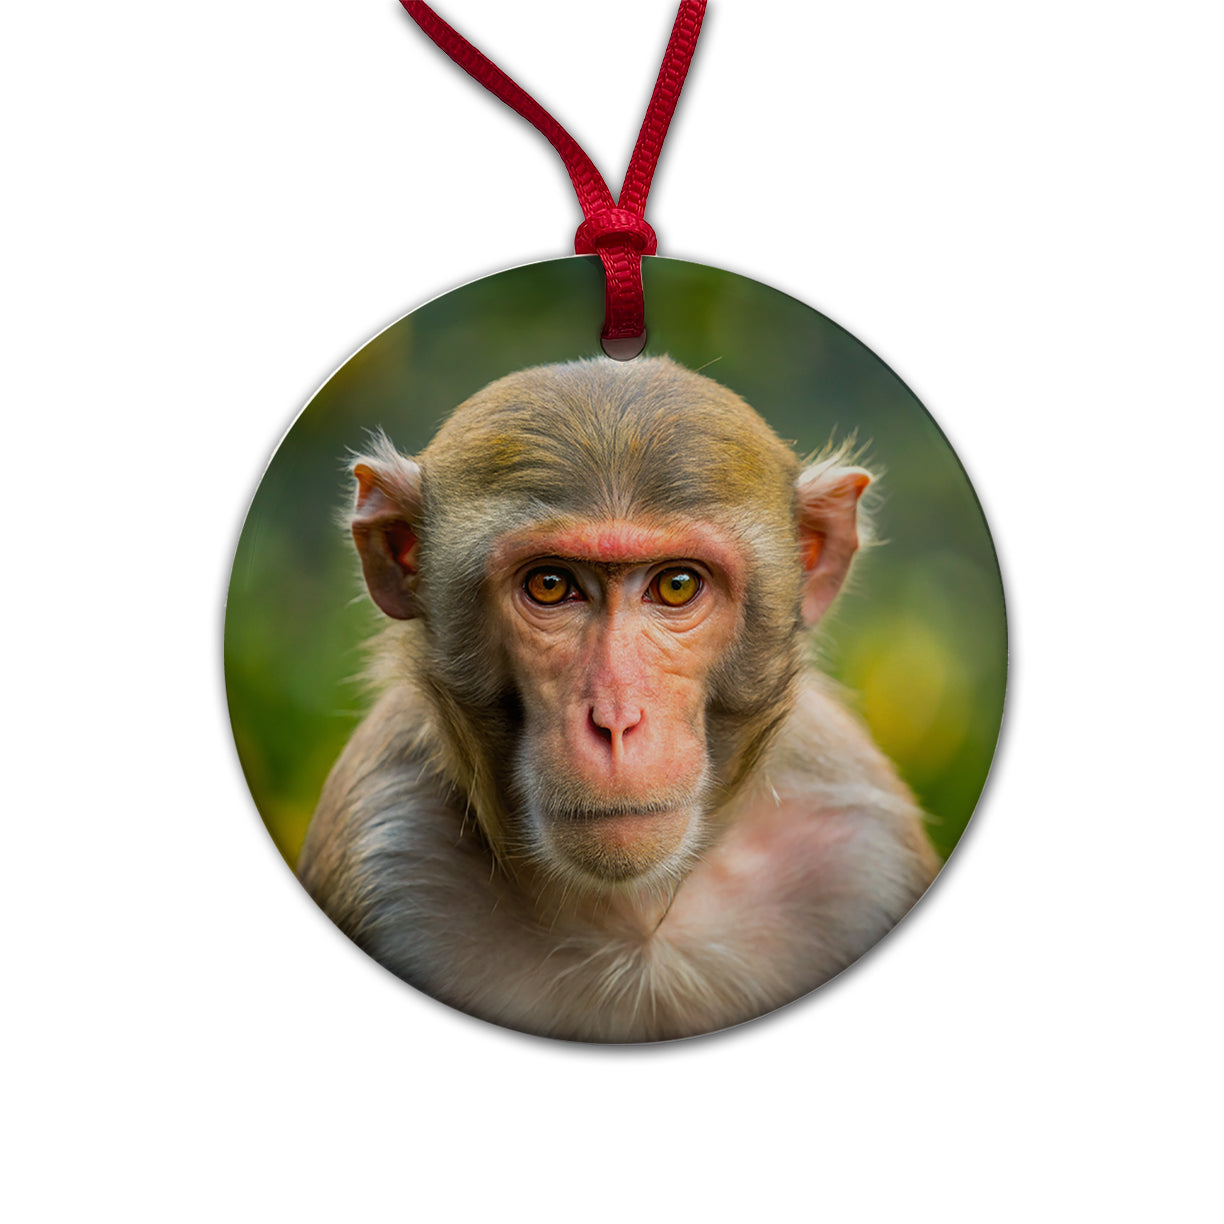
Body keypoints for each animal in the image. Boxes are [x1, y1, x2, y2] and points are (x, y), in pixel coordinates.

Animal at [297, 355, 940, 1042]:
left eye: (677, 585)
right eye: (551, 585)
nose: (615, 720)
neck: (635, 915)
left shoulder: (865, 848)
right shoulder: (382, 846)